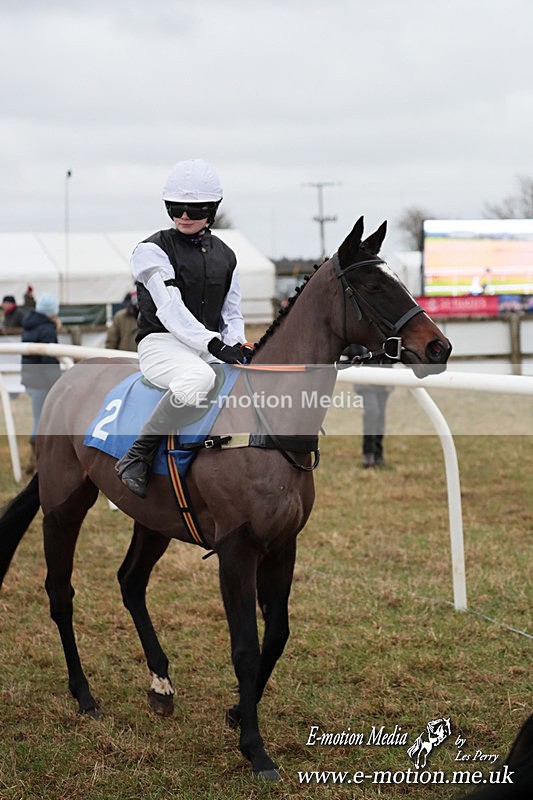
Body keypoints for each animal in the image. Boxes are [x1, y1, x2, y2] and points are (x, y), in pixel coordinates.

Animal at [0, 217, 451, 781]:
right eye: (372, 285)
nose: (439, 348)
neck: (266, 426)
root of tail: (66, 382)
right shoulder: (237, 550)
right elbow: (244, 647)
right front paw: (255, 749)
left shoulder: (282, 545)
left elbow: (276, 634)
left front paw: (239, 711)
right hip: (64, 505)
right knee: (61, 593)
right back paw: (84, 696)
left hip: (153, 518)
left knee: (130, 581)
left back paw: (161, 685)